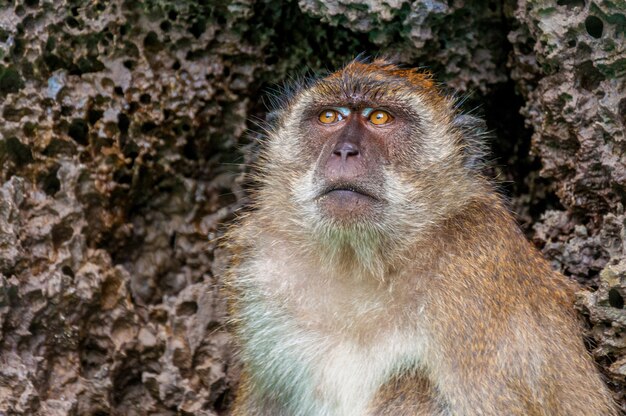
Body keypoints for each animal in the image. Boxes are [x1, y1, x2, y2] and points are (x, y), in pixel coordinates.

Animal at [222, 59, 616, 416]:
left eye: (380, 118)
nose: (344, 150)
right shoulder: (264, 266)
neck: (362, 264)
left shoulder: (476, 265)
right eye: (329, 117)